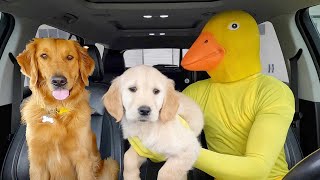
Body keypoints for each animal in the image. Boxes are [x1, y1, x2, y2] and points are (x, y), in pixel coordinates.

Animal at [16, 38, 119, 180]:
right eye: (44, 56)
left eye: (70, 57)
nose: (59, 81)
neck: (58, 109)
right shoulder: (38, 163)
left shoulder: (83, 160)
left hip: (111, 164)